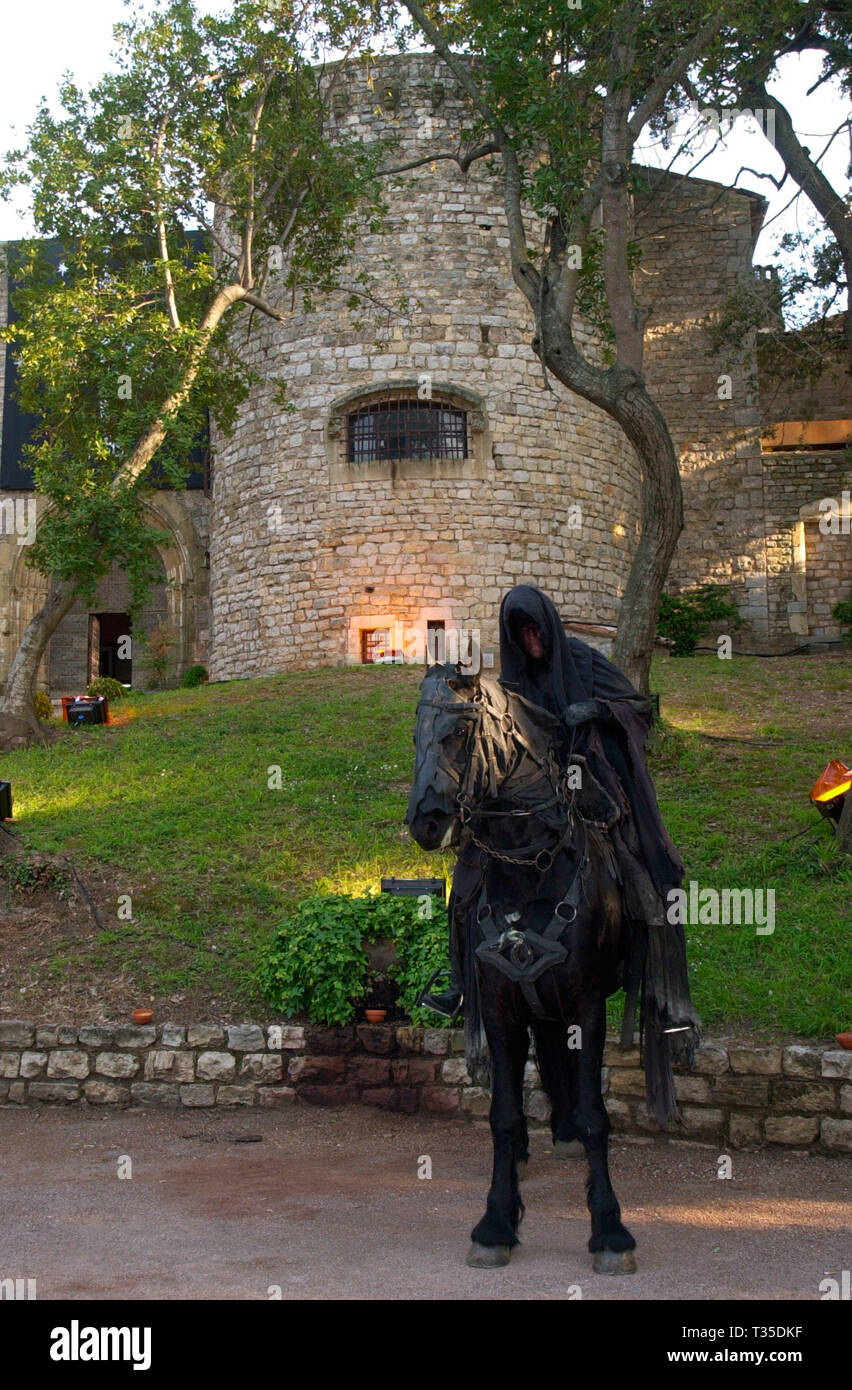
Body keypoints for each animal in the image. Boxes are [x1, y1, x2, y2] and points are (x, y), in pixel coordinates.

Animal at [405, 661, 639, 1273]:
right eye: (415, 735)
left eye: (460, 731)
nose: (425, 823)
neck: (530, 867)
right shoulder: (499, 1004)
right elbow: (504, 1116)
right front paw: (497, 1222)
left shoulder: (587, 1005)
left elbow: (596, 1114)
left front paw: (610, 1229)